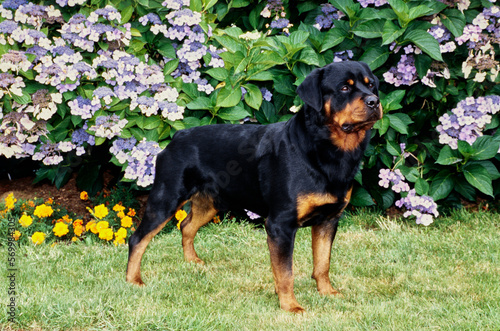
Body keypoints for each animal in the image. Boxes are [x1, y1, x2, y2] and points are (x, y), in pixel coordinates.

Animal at [126, 61, 382, 312]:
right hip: (166, 197)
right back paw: (133, 281)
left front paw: (327, 292)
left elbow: (322, 263)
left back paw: (192, 262)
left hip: (211, 201)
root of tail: (177, 137)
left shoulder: (328, 220)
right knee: (138, 238)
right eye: (344, 88)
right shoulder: (280, 224)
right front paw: (290, 306)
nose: (374, 101)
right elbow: (285, 272)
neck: (327, 150)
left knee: (187, 225)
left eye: (371, 85)